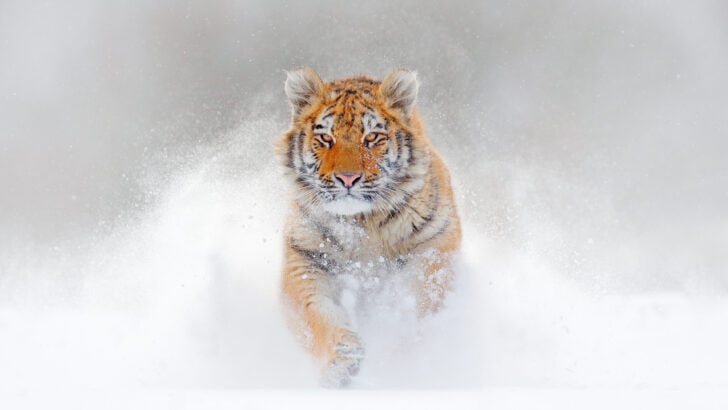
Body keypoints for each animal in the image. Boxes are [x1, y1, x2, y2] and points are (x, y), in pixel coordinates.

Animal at [274, 67, 461, 387]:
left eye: (372, 136)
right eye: (325, 137)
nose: (347, 178)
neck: (362, 223)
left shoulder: (436, 245)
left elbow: (421, 303)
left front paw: (399, 347)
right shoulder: (305, 258)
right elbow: (317, 314)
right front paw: (342, 361)